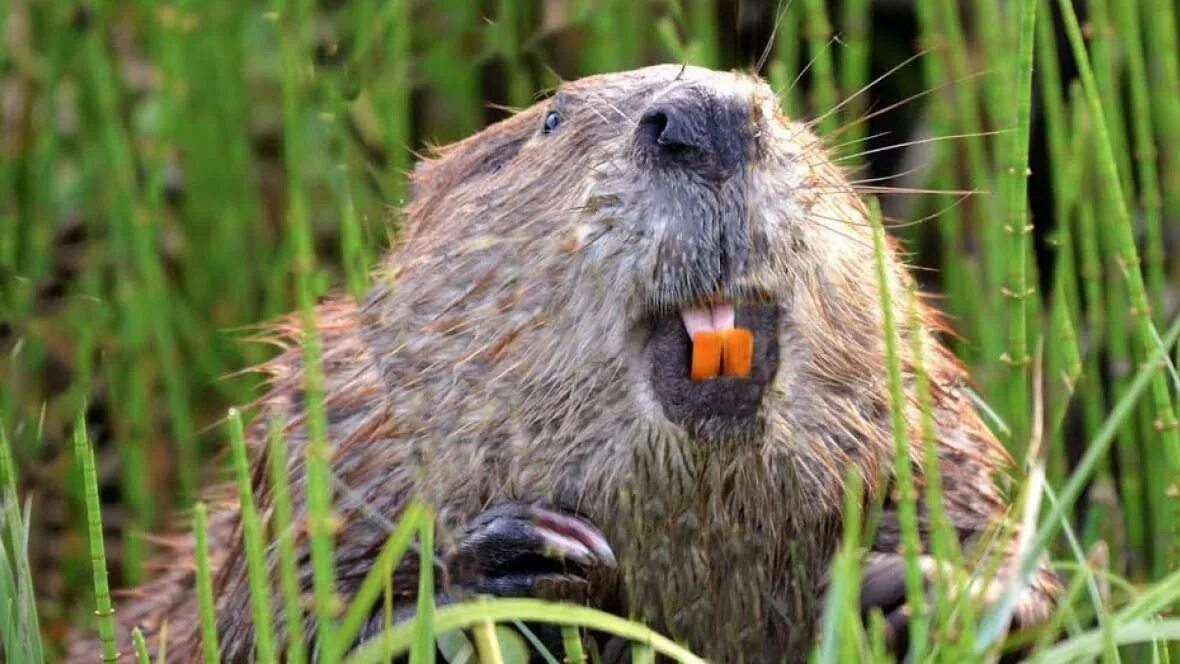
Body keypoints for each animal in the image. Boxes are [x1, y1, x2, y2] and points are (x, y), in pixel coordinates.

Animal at [66, 63, 1062, 664]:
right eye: (548, 119)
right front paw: (520, 565)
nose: (707, 117)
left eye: (776, 104)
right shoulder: (332, 439)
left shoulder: (931, 422)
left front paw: (929, 589)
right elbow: (281, 622)